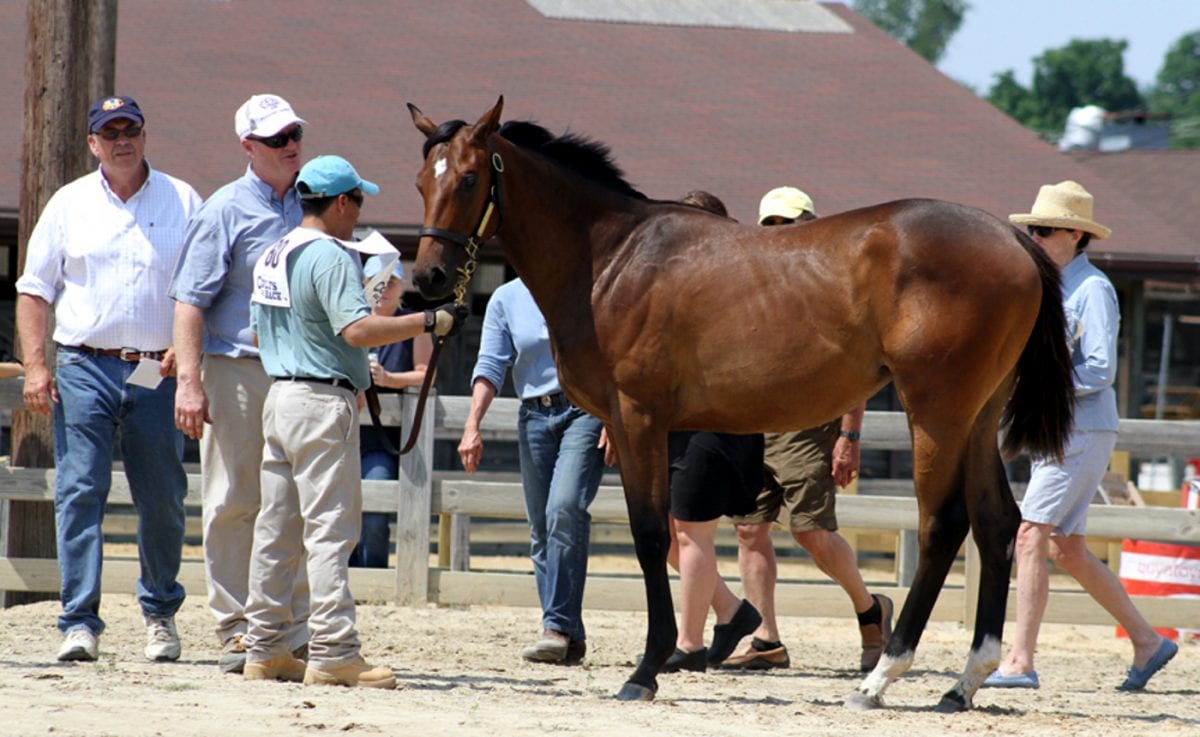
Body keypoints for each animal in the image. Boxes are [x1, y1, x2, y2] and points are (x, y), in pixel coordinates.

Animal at [408, 95, 1075, 715]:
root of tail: (1011, 238)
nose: (429, 280)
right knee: (997, 523)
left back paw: (880, 678)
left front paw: (645, 671)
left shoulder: (638, 418)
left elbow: (649, 535)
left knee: (943, 525)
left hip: (937, 411)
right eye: (421, 182)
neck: (610, 258)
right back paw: (964, 683)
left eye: (469, 177)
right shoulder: (630, 425)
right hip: (979, 416)